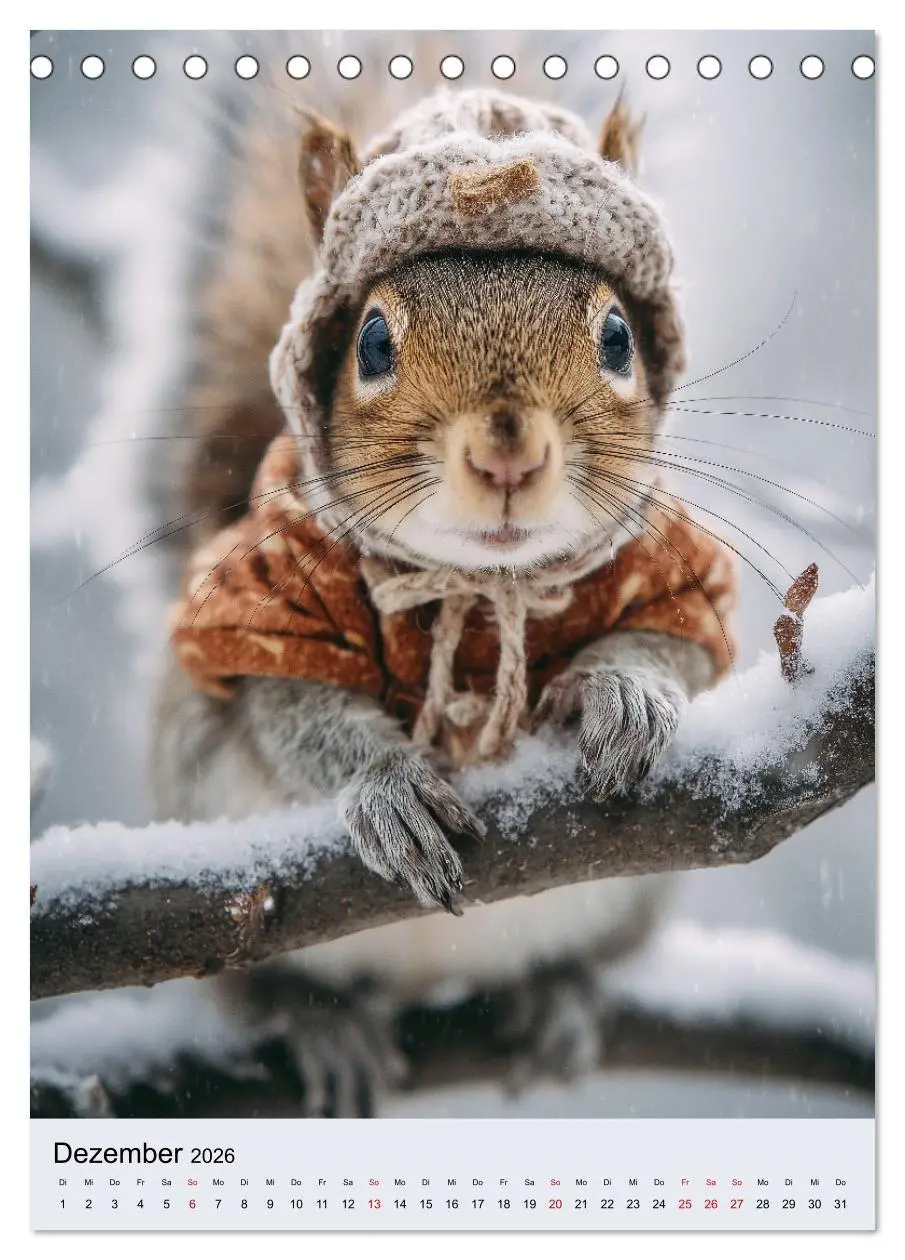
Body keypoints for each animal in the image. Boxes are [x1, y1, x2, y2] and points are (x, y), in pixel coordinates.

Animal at [148, 78, 737, 1106]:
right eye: (372, 343)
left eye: (617, 336)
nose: (508, 453)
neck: (484, 585)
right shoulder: (270, 595)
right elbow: (288, 708)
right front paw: (389, 791)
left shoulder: (667, 562)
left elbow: (677, 645)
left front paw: (625, 694)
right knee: (263, 991)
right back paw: (322, 1029)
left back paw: (558, 999)